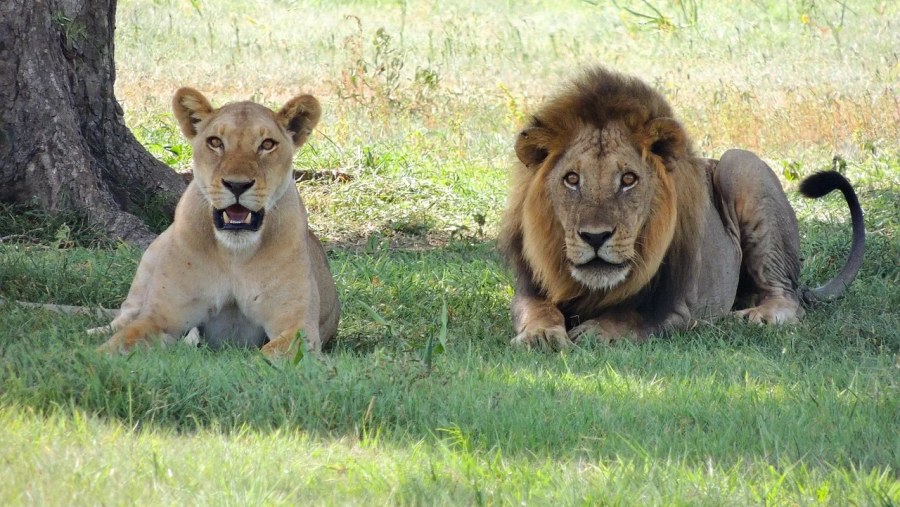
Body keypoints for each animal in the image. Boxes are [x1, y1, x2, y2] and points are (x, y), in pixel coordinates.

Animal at [96, 88, 338, 358]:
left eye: (267, 144)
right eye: (215, 142)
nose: (237, 185)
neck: (234, 254)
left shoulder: (298, 327)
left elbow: (268, 356)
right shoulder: (160, 317)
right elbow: (119, 343)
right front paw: (90, 357)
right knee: (122, 316)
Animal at [500, 67, 864, 350]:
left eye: (628, 179)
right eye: (572, 179)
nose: (595, 237)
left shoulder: (680, 307)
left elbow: (632, 316)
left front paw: (596, 332)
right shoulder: (529, 289)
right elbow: (537, 310)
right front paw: (541, 335)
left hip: (740, 165)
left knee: (787, 299)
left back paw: (753, 317)